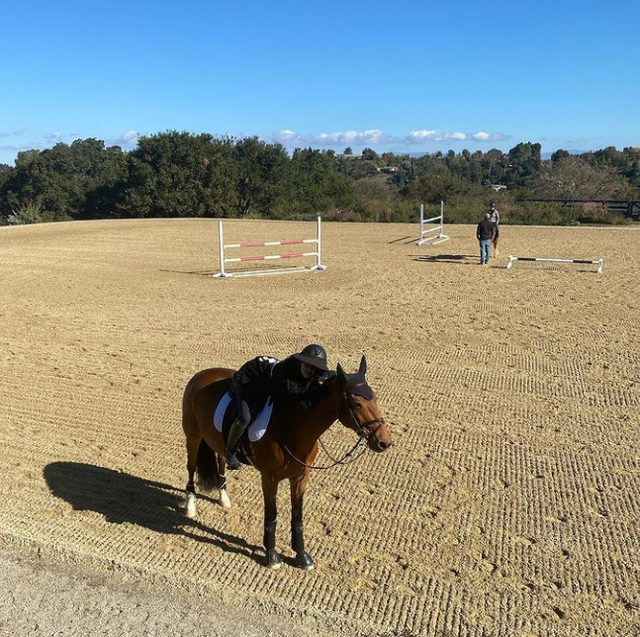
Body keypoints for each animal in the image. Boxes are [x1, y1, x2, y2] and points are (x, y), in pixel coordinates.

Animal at [180, 356, 390, 568]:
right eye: (356, 404)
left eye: (375, 398)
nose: (384, 442)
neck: (294, 425)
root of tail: (201, 375)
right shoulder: (269, 478)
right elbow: (271, 516)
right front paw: (272, 556)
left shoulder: (300, 477)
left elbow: (297, 516)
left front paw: (301, 556)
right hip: (193, 437)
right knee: (191, 468)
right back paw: (190, 506)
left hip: (217, 442)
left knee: (222, 461)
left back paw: (223, 498)